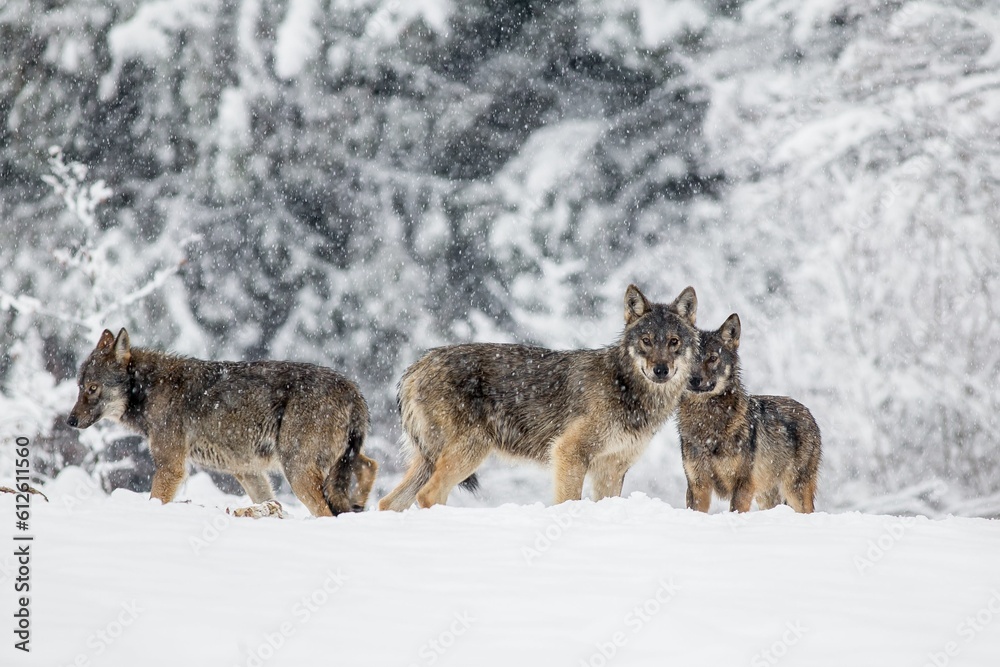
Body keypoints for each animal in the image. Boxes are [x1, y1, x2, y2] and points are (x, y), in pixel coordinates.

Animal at [67, 329, 378, 517]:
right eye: (79, 387)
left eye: (92, 388)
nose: (70, 420)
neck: (148, 389)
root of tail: (352, 389)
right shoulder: (248, 472)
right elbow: (266, 500)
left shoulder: (171, 467)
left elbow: (156, 499)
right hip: (338, 462)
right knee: (370, 465)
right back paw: (360, 504)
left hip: (298, 471)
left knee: (327, 511)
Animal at [378, 285, 698, 510]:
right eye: (646, 341)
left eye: (674, 342)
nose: (661, 370)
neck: (625, 387)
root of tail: (414, 367)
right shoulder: (568, 453)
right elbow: (568, 500)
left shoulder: (612, 468)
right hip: (470, 452)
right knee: (428, 495)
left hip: (432, 460)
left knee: (389, 501)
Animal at [677, 313, 821, 513]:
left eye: (712, 358)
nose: (693, 379)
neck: (708, 424)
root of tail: (808, 412)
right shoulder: (697, 485)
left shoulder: (742, 485)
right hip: (767, 496)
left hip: (795, 491)